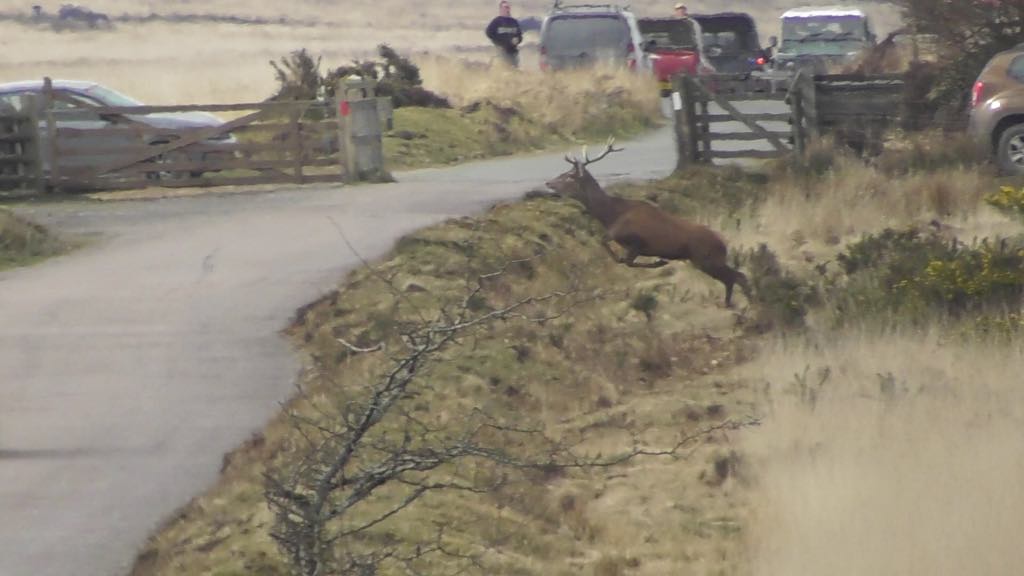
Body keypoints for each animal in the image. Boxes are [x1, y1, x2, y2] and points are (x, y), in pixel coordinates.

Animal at [545, 138, 751, 308]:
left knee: (735, 276)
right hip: (706, 260)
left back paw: (739, 302)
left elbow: (621, 256)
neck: (611, 215)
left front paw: (658, 262)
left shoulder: (636, 241)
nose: (548, 183)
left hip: (705, 258)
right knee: (737, 276)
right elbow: (614, 252)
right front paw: (657, 262)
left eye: (568, 176)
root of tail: (723, 244)